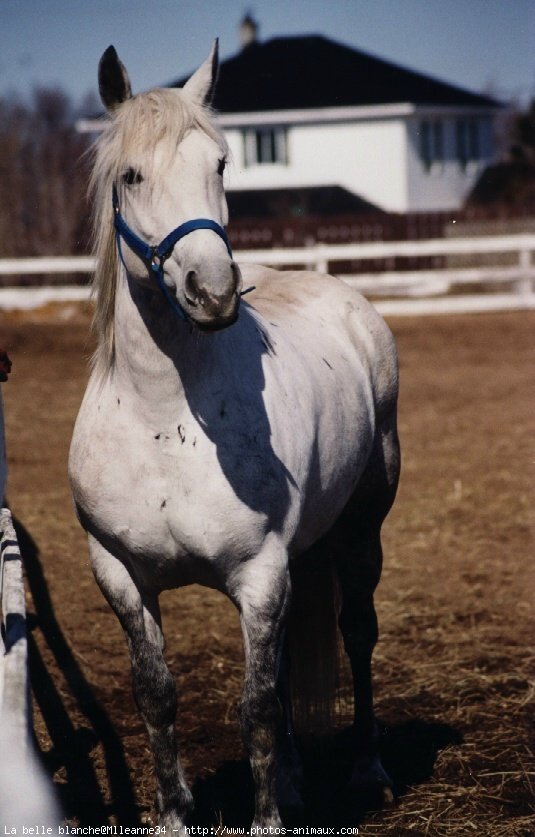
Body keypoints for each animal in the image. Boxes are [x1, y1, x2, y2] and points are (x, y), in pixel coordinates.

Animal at [69, 44, 400, 828]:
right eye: (131, 174)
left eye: (220, 163)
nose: (212, 290)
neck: (164, 422)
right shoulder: (120, 575)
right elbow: (158, 698)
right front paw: (172, 816)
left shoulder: (259, 572)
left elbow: (256, 709)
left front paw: (267, 820)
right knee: (285, 670)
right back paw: (294, 781)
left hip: (361, 525)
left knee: (357, 632)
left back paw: (367, 769)